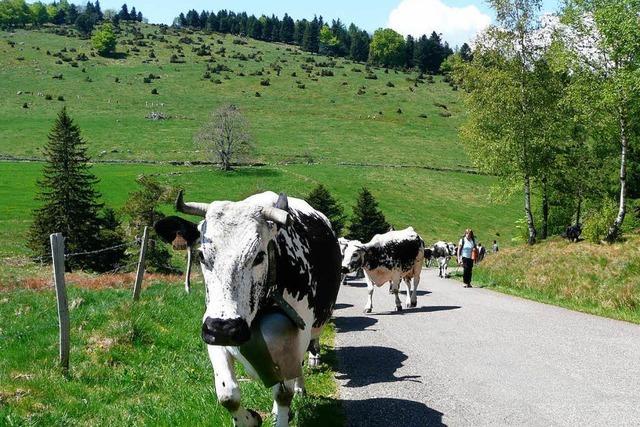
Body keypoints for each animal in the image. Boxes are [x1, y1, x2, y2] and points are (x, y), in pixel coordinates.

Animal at [153, 191, 342, 427]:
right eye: (202, 256)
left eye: (259, 256)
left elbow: (283, 393)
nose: (224, 329)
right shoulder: (212, 333)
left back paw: (299, 389)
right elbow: (228, 395)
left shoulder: (294, 338)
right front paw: (250, 418)